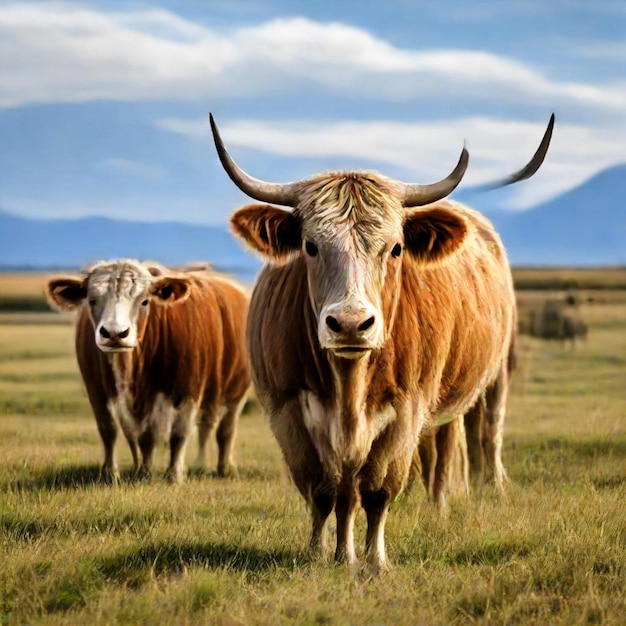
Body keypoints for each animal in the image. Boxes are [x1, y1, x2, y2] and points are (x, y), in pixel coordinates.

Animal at [45, 258, 250, 482]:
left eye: (145, 301)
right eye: (91, 300)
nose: (114, 333)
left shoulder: (190, 388)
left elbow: (179, 433)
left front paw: (174, 475)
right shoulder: (97, 389)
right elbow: (115, 430)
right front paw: (120, 473)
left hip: (235, 392)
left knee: (223, 429)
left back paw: (219, 467)